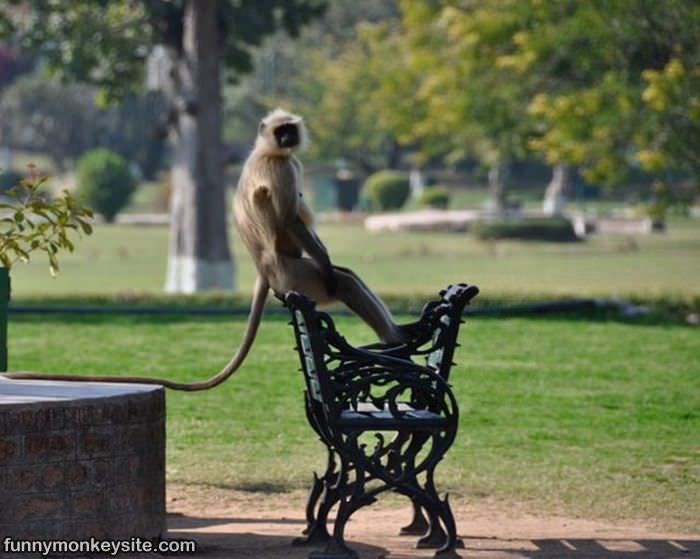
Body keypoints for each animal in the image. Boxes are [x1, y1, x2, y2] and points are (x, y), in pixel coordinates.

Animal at [2, 107, 404, 392]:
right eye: (281, 131)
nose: (289, 136)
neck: (266, 151)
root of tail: (264, 270)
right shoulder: (281, 168)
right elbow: (290, 219)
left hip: (294, 273)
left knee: (350, 277)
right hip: (298, 278)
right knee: (341, 280)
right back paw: (395, 340)